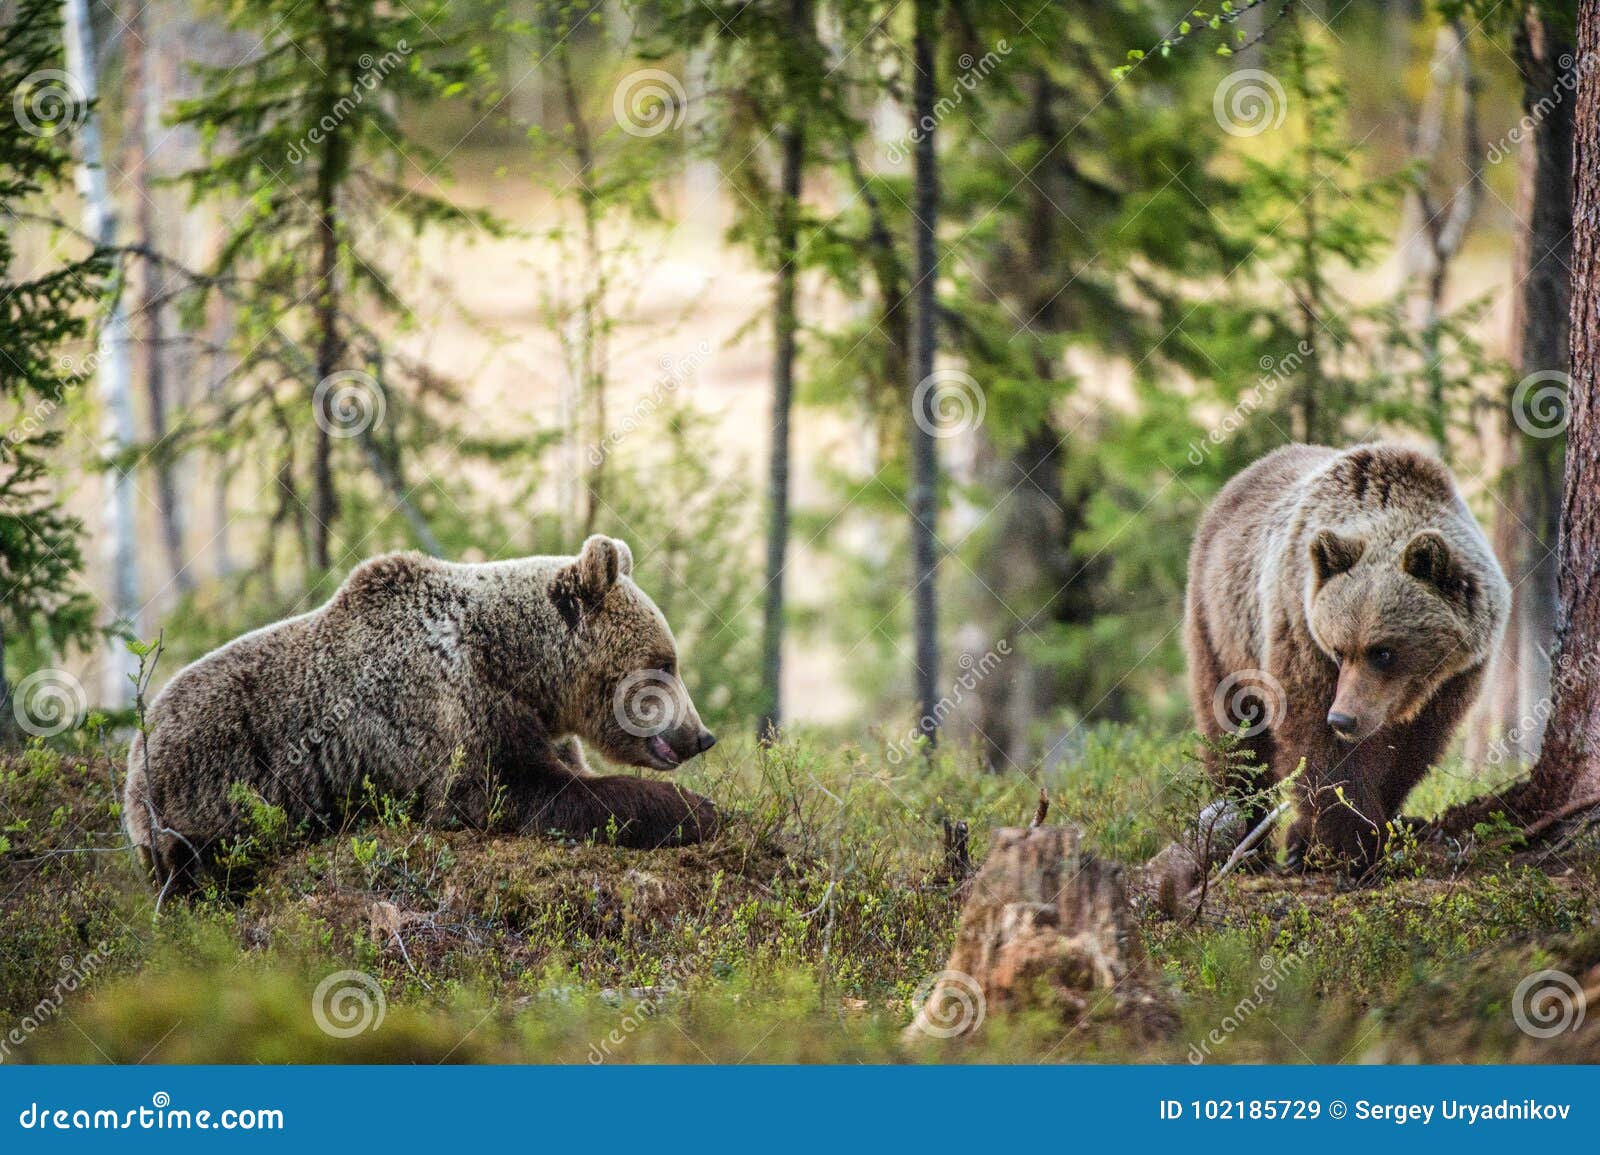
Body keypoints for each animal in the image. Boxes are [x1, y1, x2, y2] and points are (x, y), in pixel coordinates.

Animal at [124, 534, 720, 889]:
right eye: (665, 662)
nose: (701, 735)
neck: (516, 666)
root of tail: (137, 749)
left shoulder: (531, 719)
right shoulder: (448, 709)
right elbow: (513, 791)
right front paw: (698, 808)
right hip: (206, 796)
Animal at [1190, 444, 1510, 870]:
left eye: (1383, 651)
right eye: (1339, 649)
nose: (1343, 718)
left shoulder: (1457, 677)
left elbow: (1410, 752)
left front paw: (1384, 824)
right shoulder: (1300, 627)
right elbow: (1316, 745)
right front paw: (1349, 841)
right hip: (1220, 624)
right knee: (1233, 731)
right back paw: (1243, 836)